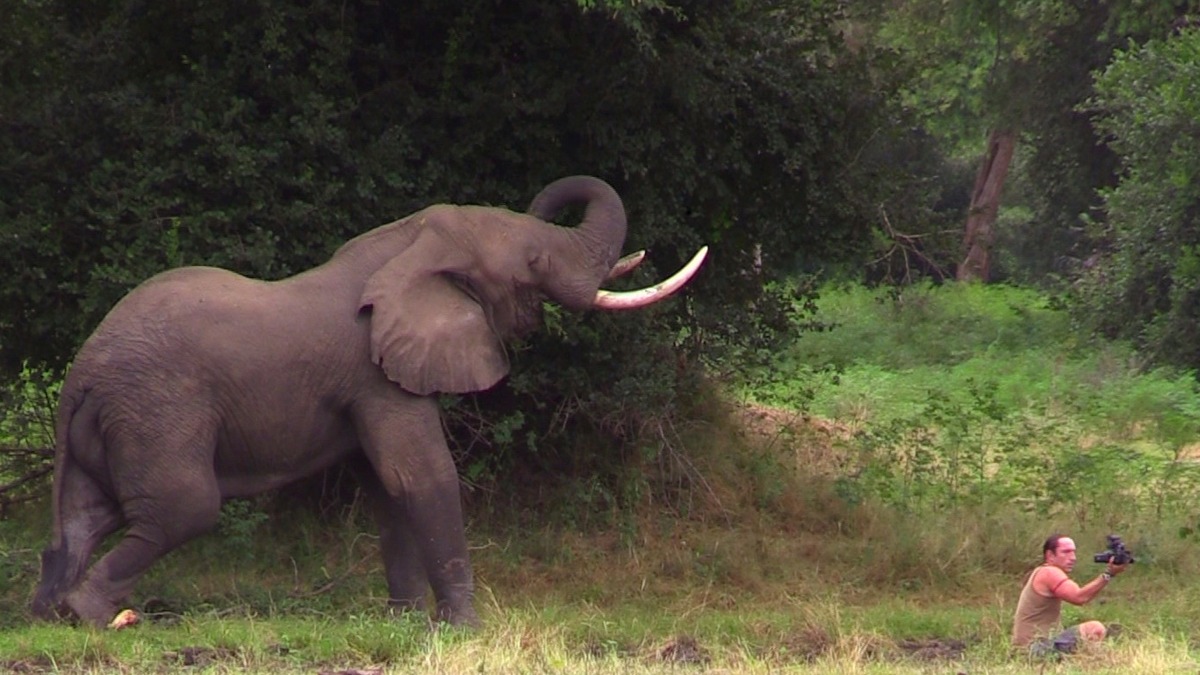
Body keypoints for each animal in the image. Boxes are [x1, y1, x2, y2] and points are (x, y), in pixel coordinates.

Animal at [32, 174, 705, 624]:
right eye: (534, 260)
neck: (410, 244)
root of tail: (79, 374)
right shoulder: (377, 375)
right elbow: (421, 474)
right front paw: (464, 628)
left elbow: (386, 488)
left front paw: (404, 621)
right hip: (157, 412)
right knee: (183, 508)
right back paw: (91, 615)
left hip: (114, 422)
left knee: (84, 517)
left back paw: (49, 612)